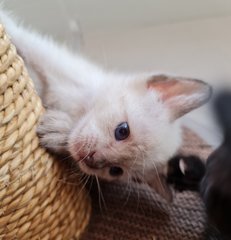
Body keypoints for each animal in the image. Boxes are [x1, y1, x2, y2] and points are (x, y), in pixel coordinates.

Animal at [0, 9, 212, 201]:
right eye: (122, 131)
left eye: (115, 170)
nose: (91, 159)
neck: (78, 110)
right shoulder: (57, 67)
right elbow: (26, 43)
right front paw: (6, 23)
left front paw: (59, 133)